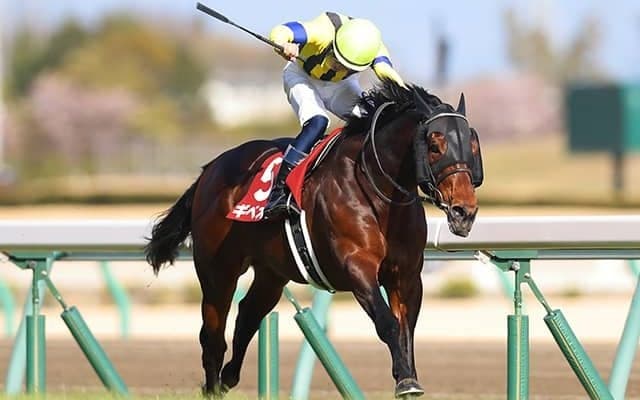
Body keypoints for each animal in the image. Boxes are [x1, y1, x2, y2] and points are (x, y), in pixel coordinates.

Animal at [145, 79, 483, 398]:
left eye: (472, 145)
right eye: (435, 145)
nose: (463, 211)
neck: (379, 191)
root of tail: (209, 169)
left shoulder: (407, 275)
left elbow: (405, 328)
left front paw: (408, 379)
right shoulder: (357, 266)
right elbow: (386, 322)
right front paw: (405, 382)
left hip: (271, 273)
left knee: (247, 317)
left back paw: (229, 377)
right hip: (218, 271)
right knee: (212, 334)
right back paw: (213, 387)